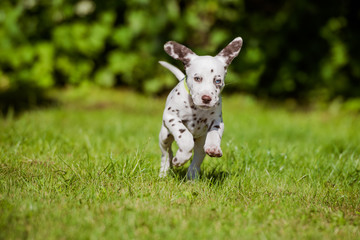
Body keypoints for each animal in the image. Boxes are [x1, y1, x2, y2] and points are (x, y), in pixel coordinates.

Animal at [159, 37, 243, 179]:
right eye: (197, 78)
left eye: (217, 81)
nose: (206, 98)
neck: (197, 109)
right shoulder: (171, 117)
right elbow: (185, 138)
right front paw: (180, 159)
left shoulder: (217, 121)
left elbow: (214, 133)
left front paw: (214, 147)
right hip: (165, 136)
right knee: (167, 153)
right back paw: (165, 170)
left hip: (201, 143)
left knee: (197, 159)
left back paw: (192, 176)